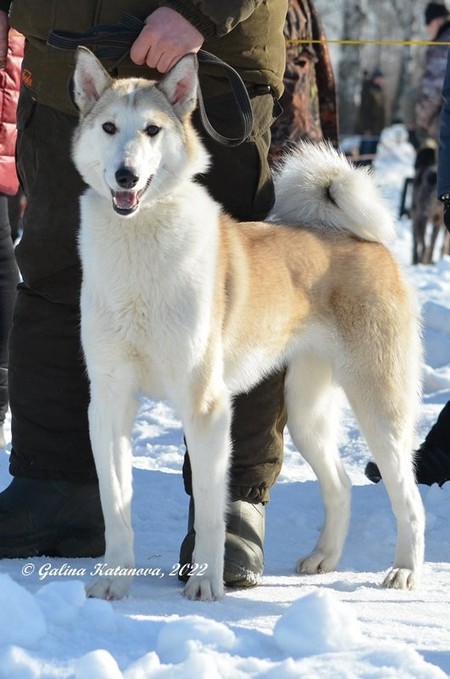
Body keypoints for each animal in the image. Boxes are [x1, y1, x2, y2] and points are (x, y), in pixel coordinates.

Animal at [71, 47, 425, 601]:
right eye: (108, 127)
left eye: (152, 130)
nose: (126, 175)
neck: (139, 245)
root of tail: (364, 241)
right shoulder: (108, 400)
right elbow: (116, 505)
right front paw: (114, 580)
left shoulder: (207, 407)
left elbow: (211, 512)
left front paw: (207, 583)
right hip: (306, 413)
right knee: (342, 484)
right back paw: (324, 558)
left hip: (379, 407)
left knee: (409, 498)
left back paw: (405, 571)